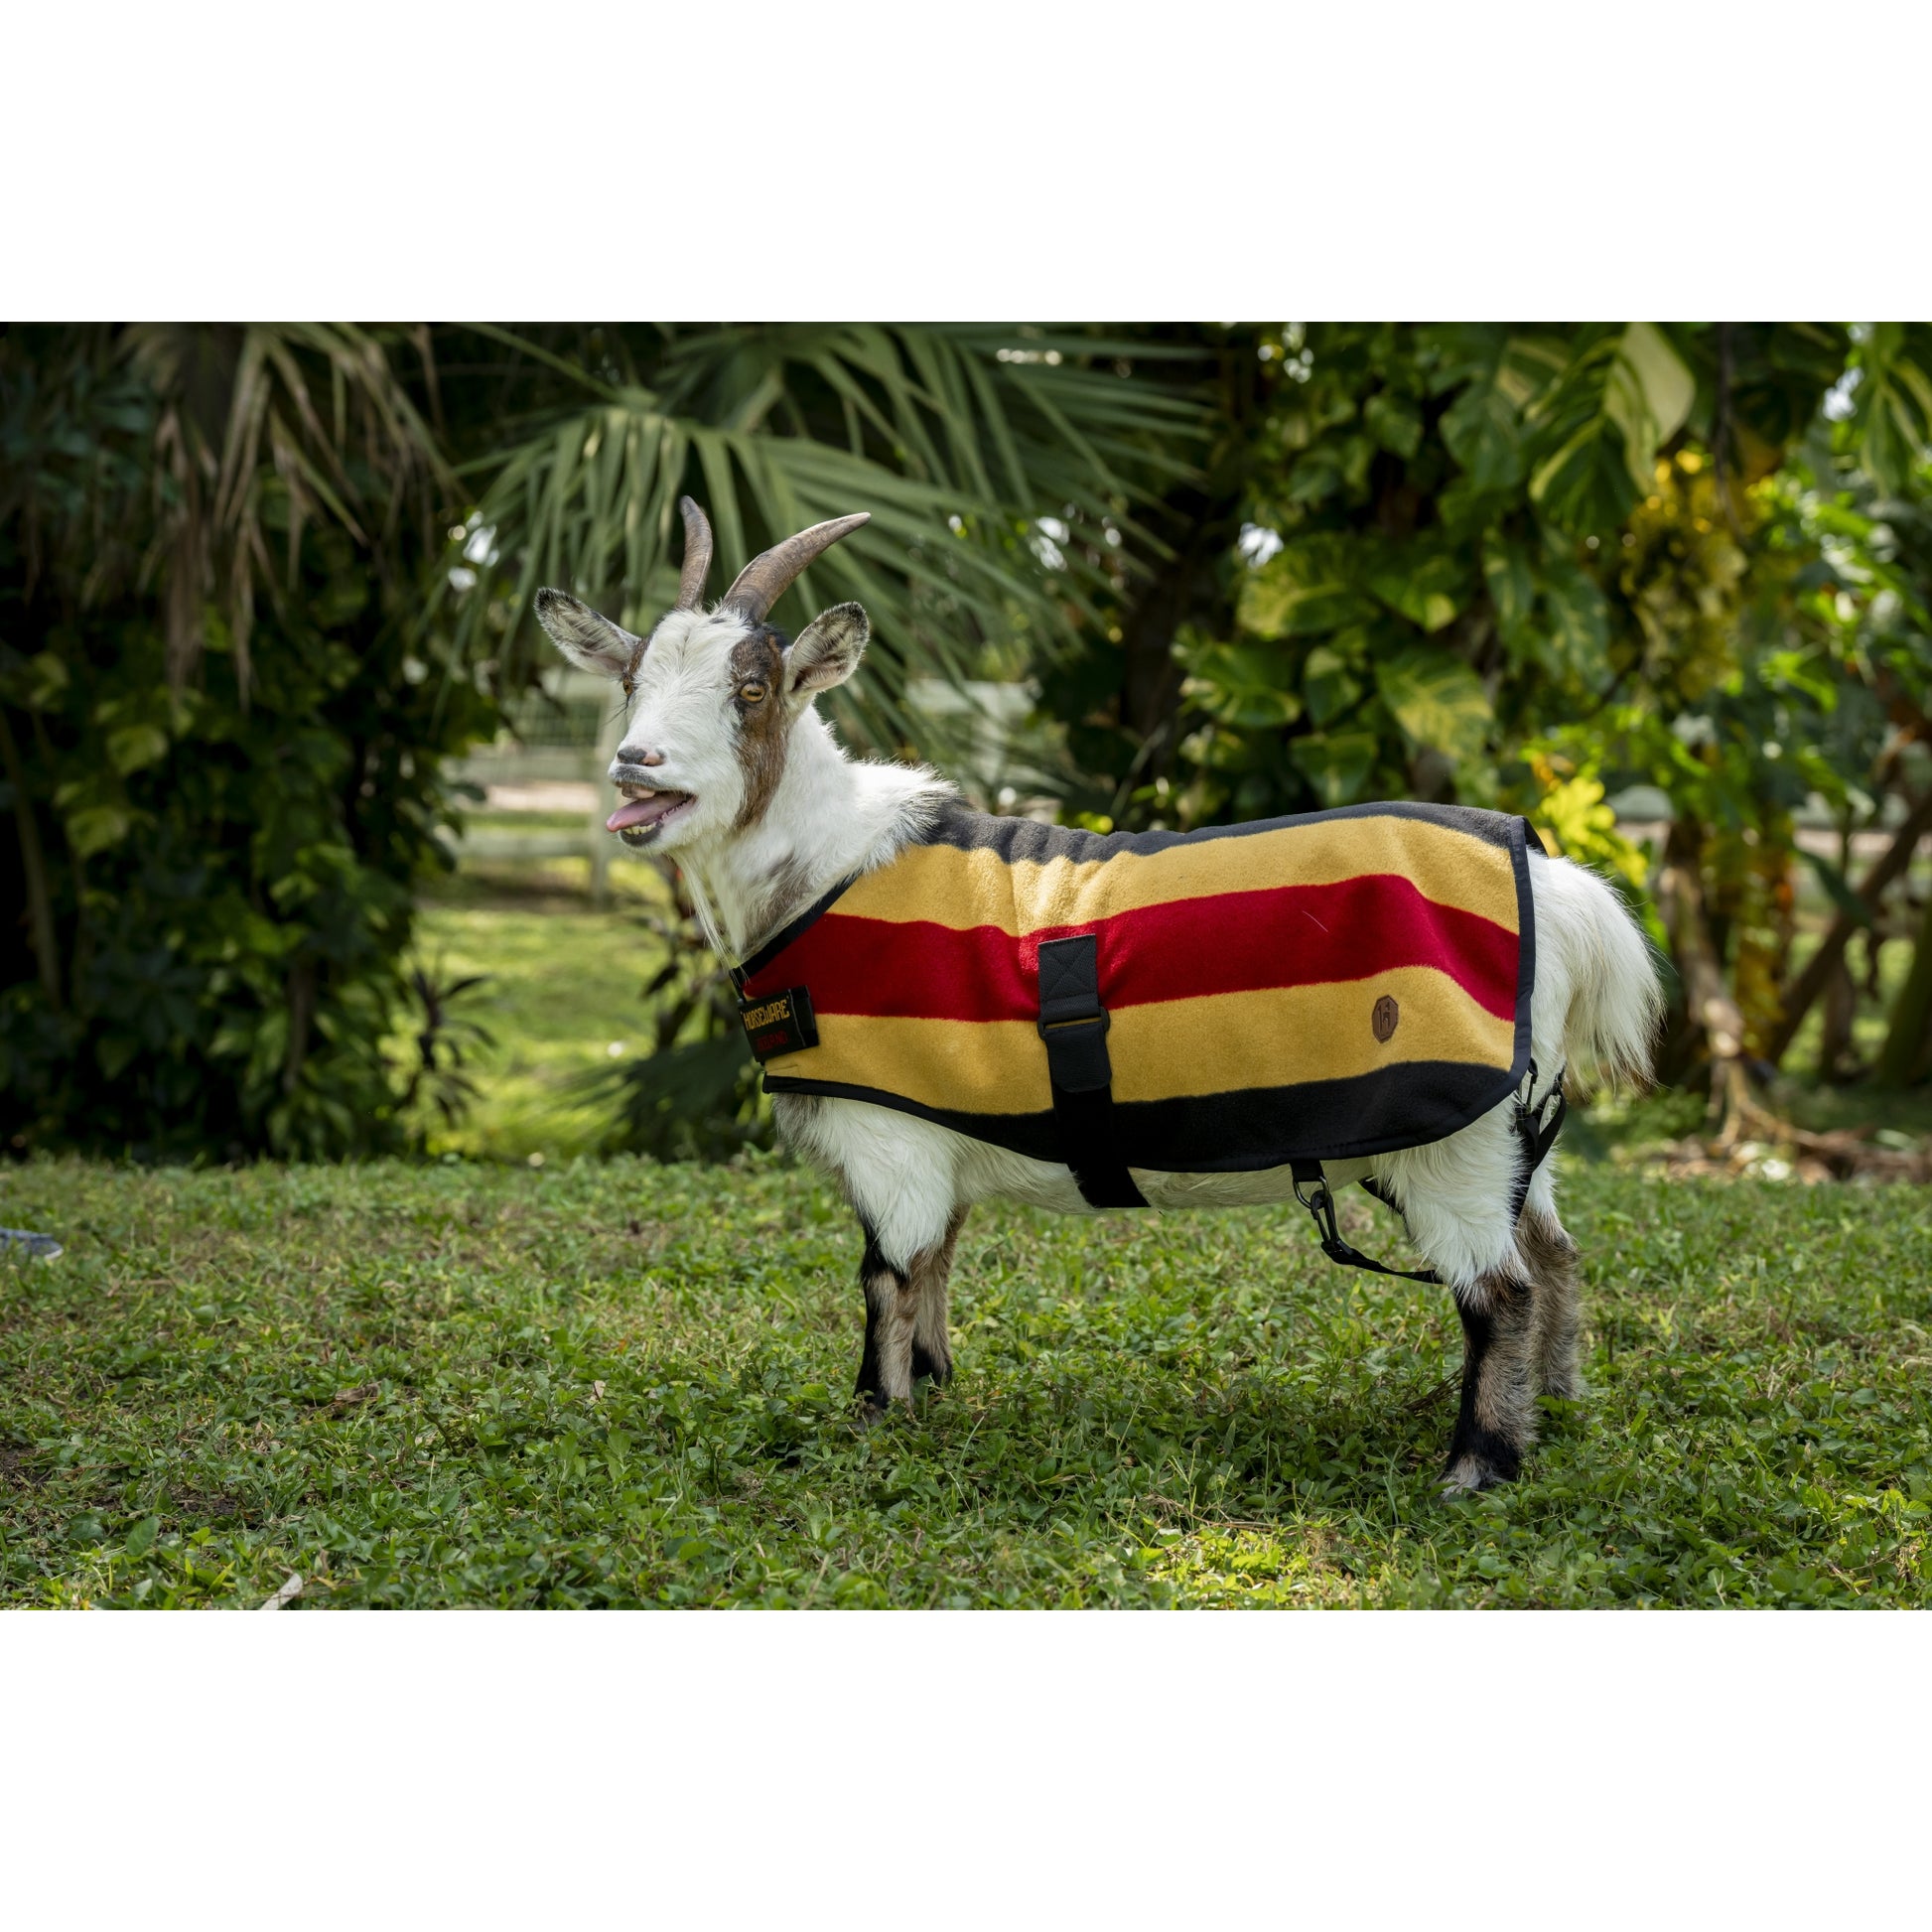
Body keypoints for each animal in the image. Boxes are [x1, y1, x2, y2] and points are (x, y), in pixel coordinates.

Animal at [536, 499, 1664, 1491]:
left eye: (754, 687)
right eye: (632, 677)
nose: (636, 763)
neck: (823, 869)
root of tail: (1560, 889)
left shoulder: (889, 1142)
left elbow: (884, 1278)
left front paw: (870, 1424)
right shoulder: (937, 1129)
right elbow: (936, 1265)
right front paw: (936, 1395)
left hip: (1450, 1142)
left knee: (1499, 1289)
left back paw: (1478, 1464)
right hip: (1513, 1135)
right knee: (1556, 1254)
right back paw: (1557, 1406)